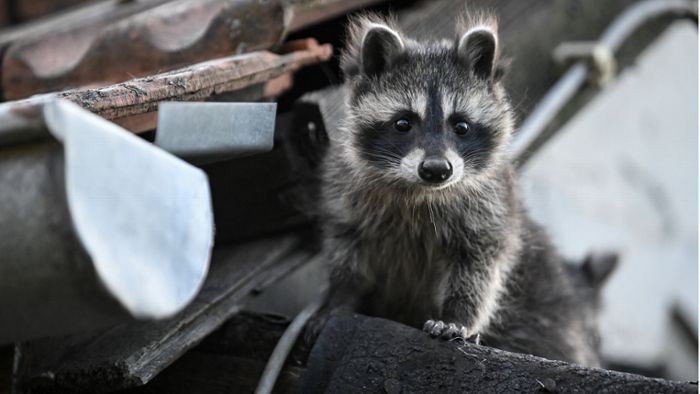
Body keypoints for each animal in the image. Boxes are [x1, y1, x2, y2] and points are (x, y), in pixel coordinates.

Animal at [308, 12, 604, 368]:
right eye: (403, 123)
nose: (436, 170)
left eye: (460, 125)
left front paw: (458, 316)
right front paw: (338, 298)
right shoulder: (346, 195)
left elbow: (479, 266)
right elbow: (347, 255)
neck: (421, 192)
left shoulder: (492, 207)